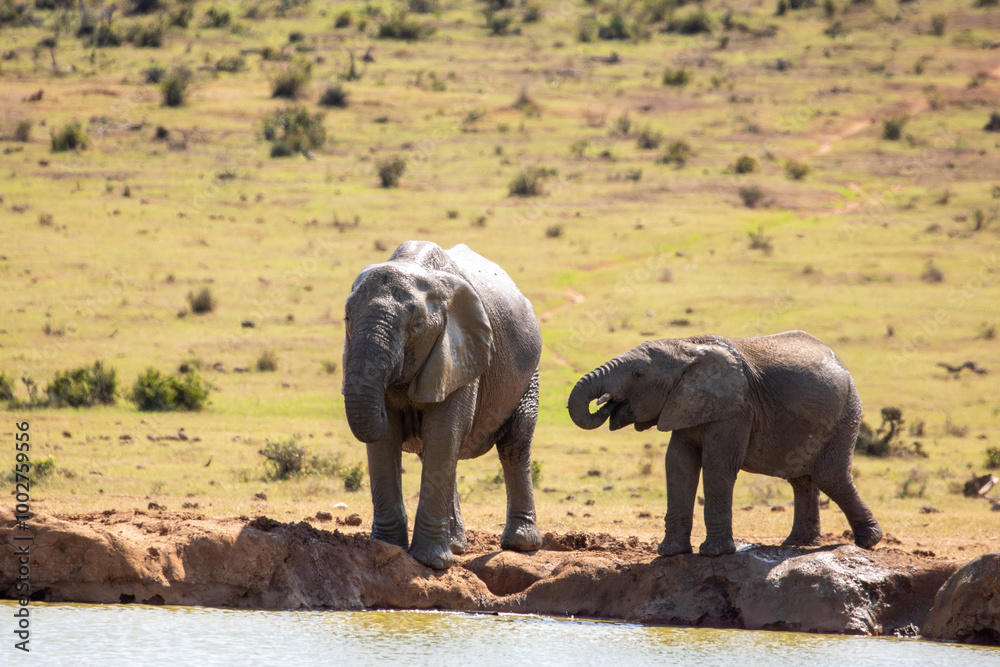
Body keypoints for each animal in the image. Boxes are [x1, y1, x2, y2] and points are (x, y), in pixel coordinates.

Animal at [342, 240, 543, 569]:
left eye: (417, 325)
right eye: (347, 319)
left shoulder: (463, 353)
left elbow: (443, 432)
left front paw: (431, 563)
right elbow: (388, 441)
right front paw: (387, 549)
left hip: (529, 372)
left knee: (514, 444)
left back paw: (520, 544)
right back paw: (457, 546)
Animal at [567, 330, 882, 557]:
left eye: (637, 374)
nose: (605, 402)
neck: (685, 347)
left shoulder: (735, 410)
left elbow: (717, 464)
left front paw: (713, 554)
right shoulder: (685, 404)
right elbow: (678, 463)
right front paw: (670, 553)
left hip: (845, 415)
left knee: (831, 477)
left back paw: (868, 540)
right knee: (802, 479)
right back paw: (796, 544)